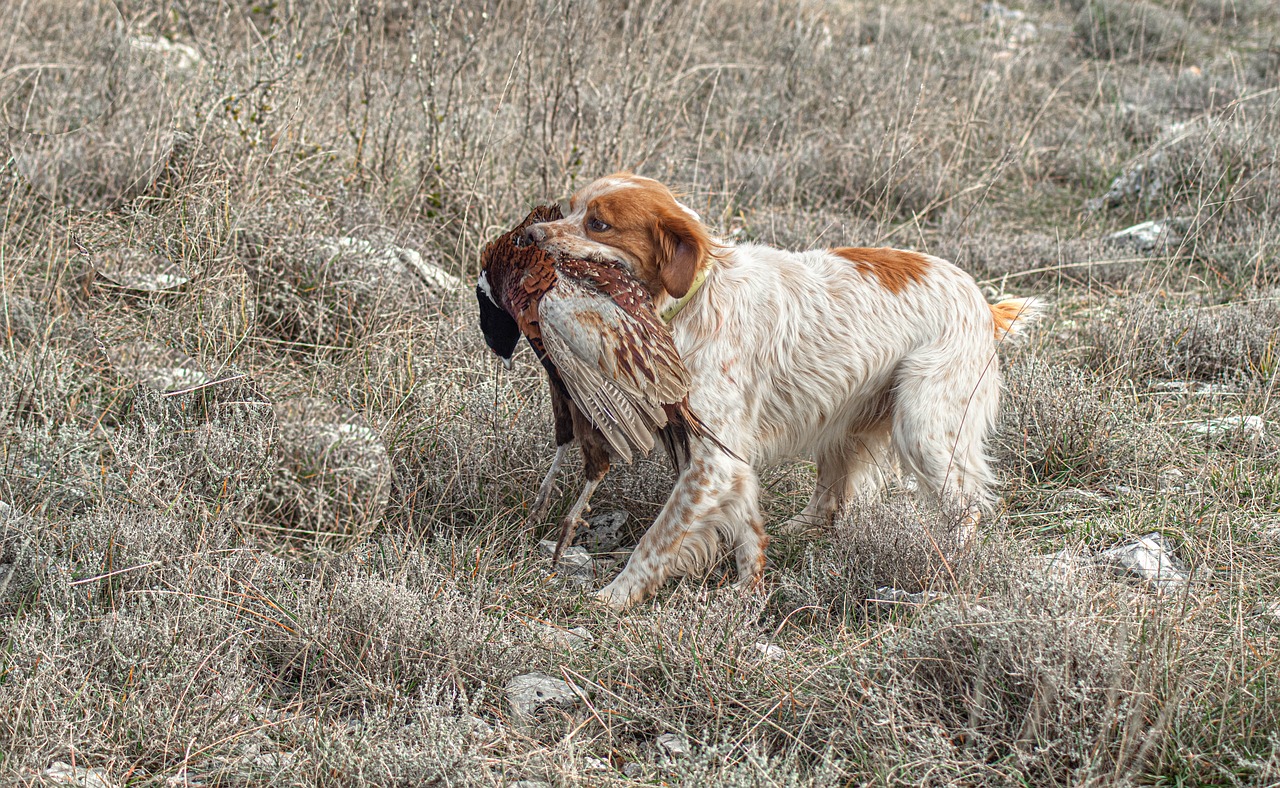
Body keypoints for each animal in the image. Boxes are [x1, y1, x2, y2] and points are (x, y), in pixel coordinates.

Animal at [514, 172, 1034, 606]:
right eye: (568, 208)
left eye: (598, 224)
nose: (530, 237)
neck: (694, 299)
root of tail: (982, 302)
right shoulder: (725, 458)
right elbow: (747, 529)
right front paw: (747, 592)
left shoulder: (714, 460)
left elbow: (658, 540)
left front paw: (615, 597)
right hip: (846, 422)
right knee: (830, 496)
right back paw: (799, 530)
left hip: (925, 427)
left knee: (967, 508)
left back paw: (951, 567)